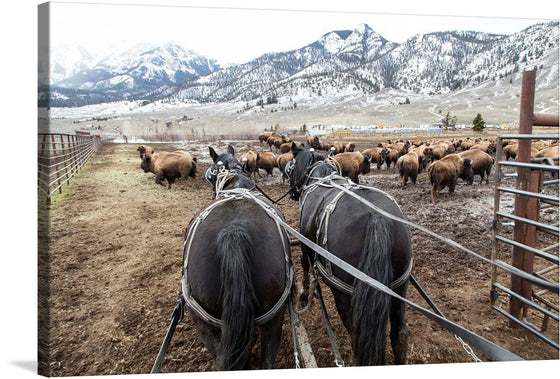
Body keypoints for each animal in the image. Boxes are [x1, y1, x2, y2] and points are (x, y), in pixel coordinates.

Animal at [288, 145, 412, 366]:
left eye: (292, 166)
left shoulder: (304, 243)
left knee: (357, 339)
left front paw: (303, 293)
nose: (293, 192)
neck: (319, 176)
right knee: (399, 334)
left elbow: (304, 263)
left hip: (344, 295)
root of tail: (376, 217)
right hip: (400, 286)